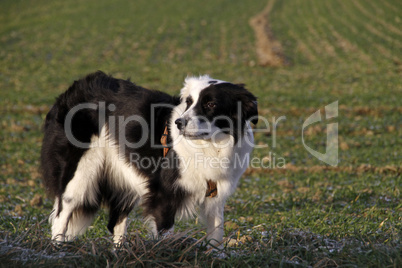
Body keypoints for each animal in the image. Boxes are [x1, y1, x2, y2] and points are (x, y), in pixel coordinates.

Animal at [41, 71, 258, 247]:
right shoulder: (163, 195)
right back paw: (58, 250)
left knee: (116, 222)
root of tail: (75, 87)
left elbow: (216, 233)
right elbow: (165, 234)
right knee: (62, 214)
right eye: (189, 103)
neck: (211, 146)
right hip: (80, 172)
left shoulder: (215, 194)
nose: (179, 123)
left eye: (211, 104)